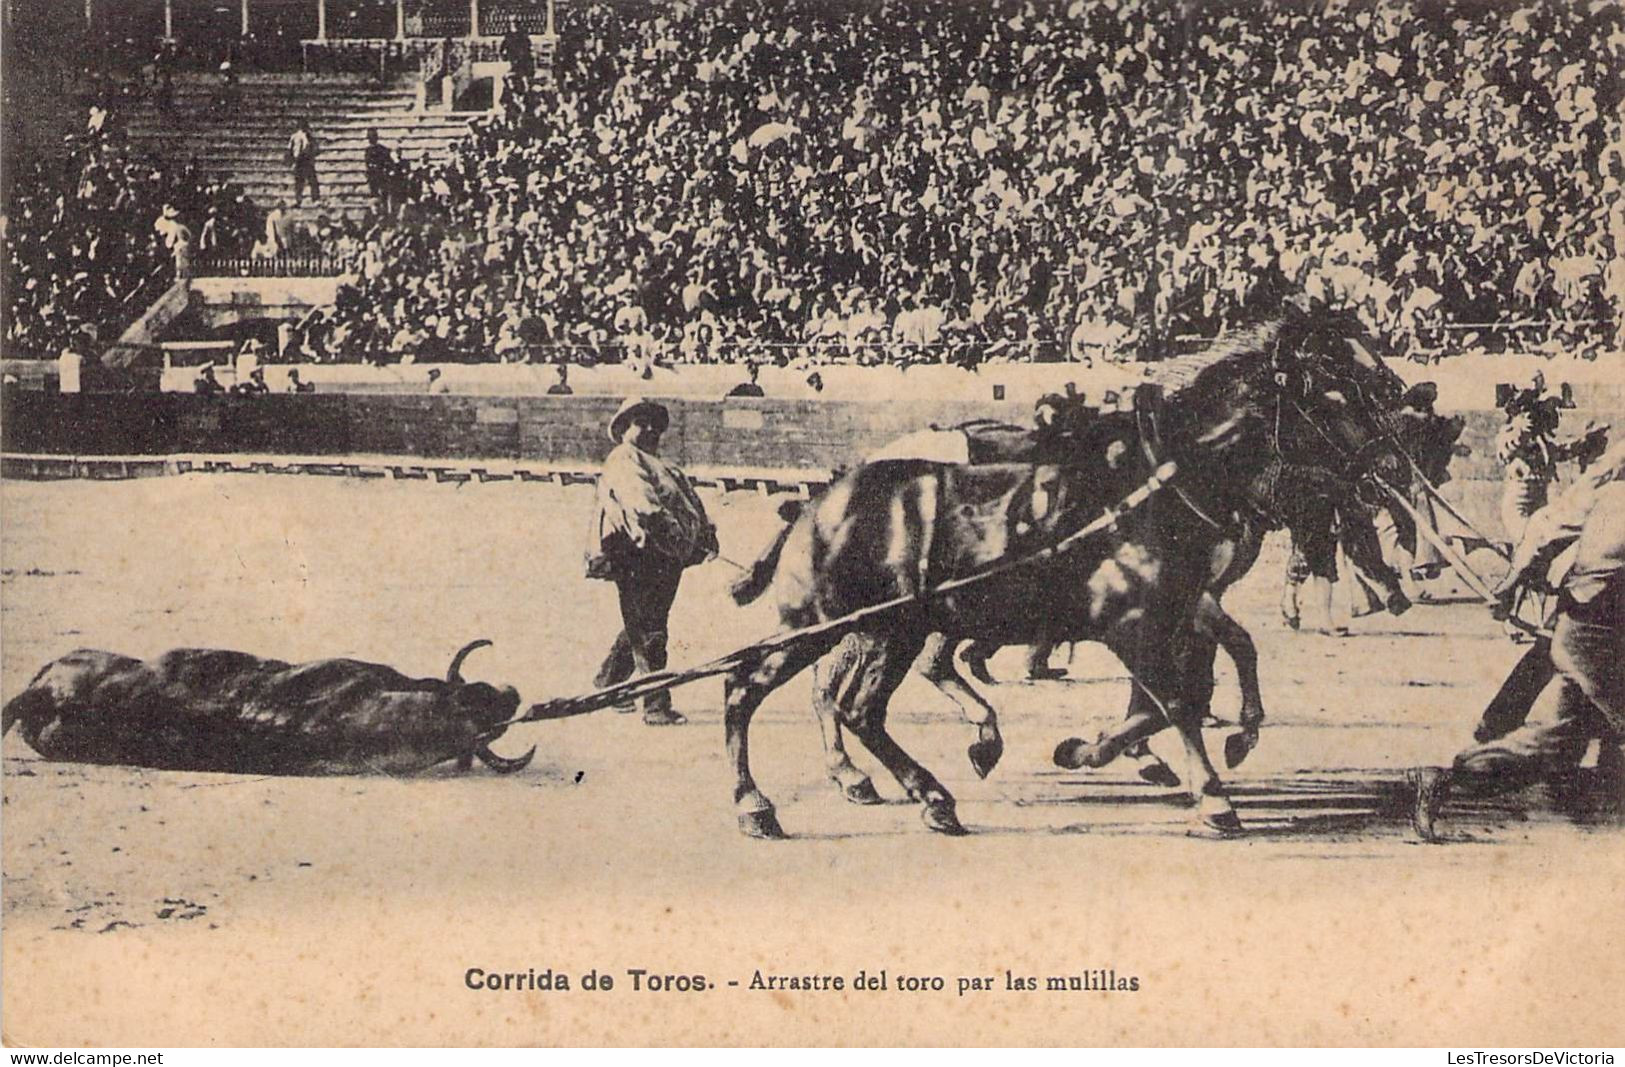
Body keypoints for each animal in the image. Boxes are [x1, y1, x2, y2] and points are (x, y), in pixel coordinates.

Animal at [724, 308, 1423, 838]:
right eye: (1332, 390)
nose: (1394, 460)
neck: (1156, 480)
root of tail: (819, 499)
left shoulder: (1178, 610)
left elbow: (1192, 684)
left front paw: (1108, 749)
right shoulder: (1135, 623)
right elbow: (1177, 698)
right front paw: (1211, 795)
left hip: (887, 630)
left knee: (857, 706)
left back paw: (929, 792)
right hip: (834, 625)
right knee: (753, 690)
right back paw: (760, 804)